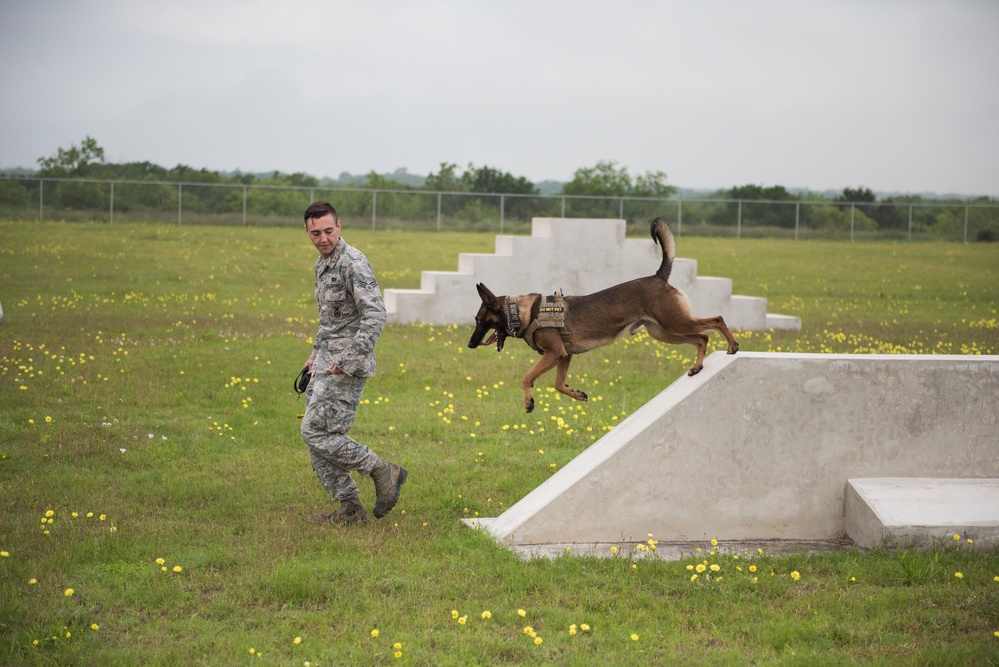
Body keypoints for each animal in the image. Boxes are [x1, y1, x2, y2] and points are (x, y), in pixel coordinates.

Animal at [464, 219, 740, 412]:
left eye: (478, 321)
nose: (470, 344)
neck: (523, 311)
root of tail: (658, 277)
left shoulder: (555, 353)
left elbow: (526, 377)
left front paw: (529, 402)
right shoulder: (564, 355)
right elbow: (558, 384)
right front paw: (577, 394)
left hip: (674, 323)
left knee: (716, 321)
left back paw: (732, 346)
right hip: (664, 333)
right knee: (702, 338)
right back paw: (697, 366)